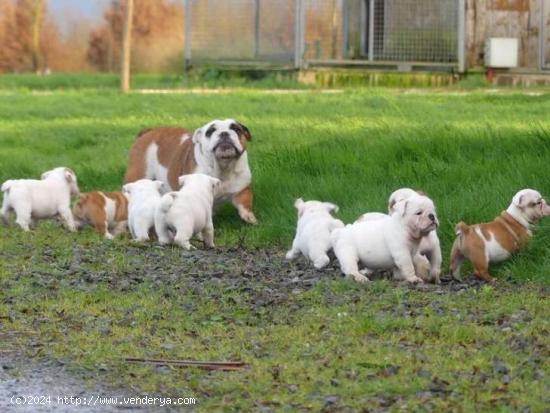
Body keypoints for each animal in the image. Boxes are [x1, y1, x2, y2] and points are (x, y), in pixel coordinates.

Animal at [124, 117, 258, 224]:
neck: (223, 166)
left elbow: (245, 203)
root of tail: (149, 131)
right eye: (210, 132)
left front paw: (249, 217)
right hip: (139, 173)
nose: (224, 133)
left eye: (236, 129)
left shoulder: (242, 189)